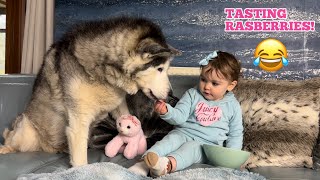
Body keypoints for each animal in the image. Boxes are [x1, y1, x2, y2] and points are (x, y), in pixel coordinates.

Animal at [0, 16, 180, 167]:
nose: (171, 94)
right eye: (160, 69)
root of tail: (46, 147)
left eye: (166, 69)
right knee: (9, 137)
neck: (105, 71)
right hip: (26, 133)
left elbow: (126, 115)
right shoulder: (78, 123)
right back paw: (5, 148)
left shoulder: (119, 105)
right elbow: (80, 160)